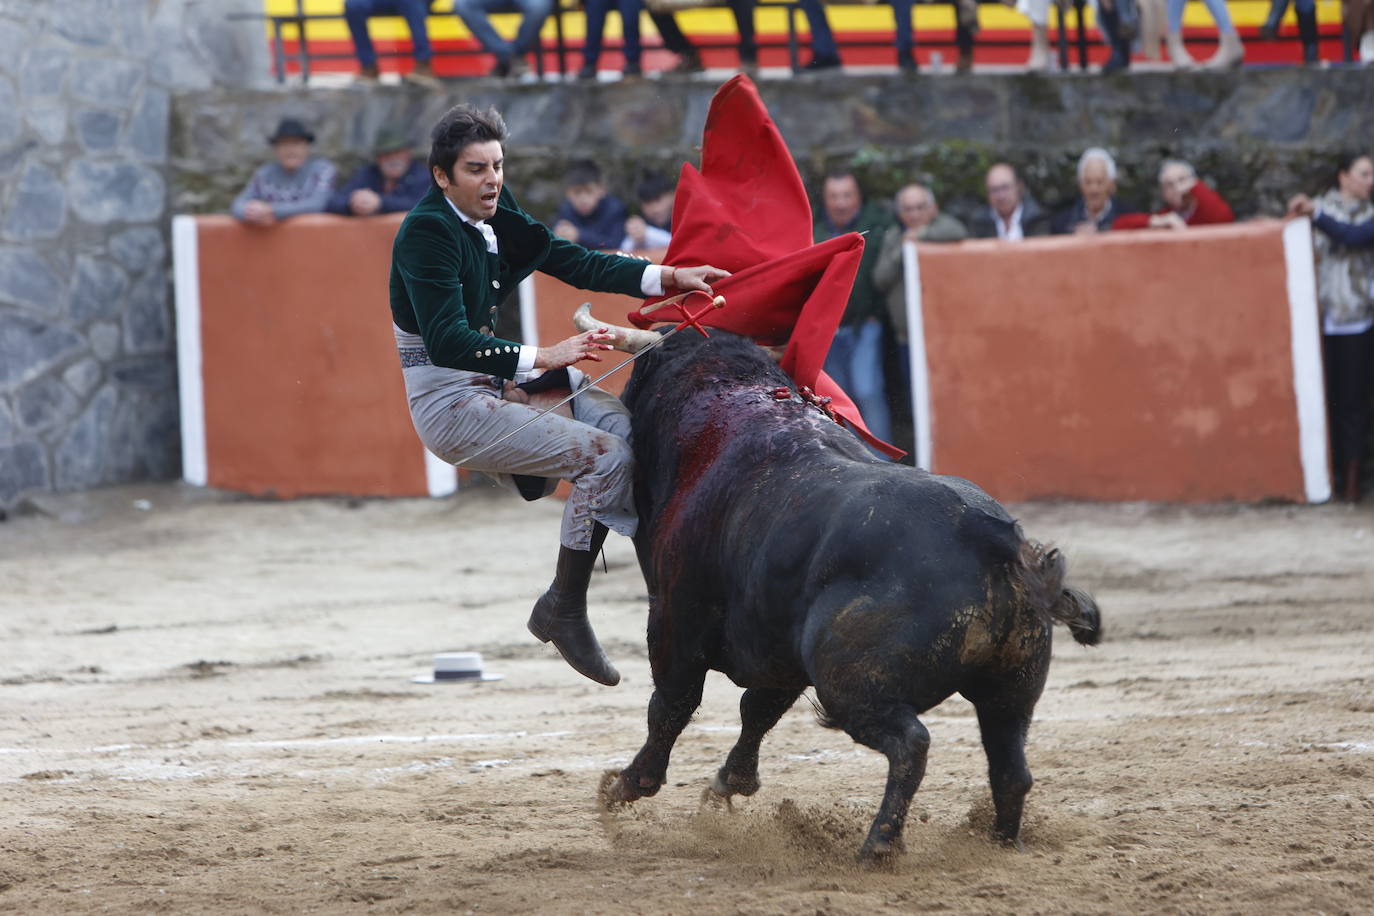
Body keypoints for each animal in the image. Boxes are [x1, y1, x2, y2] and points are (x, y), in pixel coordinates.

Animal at [601, 318, 1104, 862]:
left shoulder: (675, 617)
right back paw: (998, 843)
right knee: (1010, 768)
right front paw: (727, 785)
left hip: (851, 685)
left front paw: (625, 787)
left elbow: (671, 706)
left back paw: (879, 844)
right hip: (1012, 688)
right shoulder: (778, 643)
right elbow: (757, 709)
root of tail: (988, 535)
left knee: (911, 743)